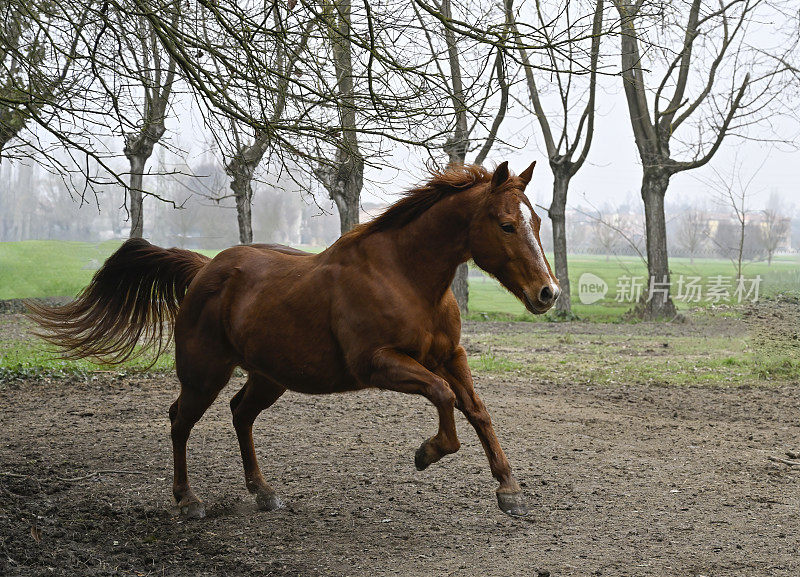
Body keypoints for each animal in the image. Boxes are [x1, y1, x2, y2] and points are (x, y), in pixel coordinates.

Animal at [28, 162, 560, 516]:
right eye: (506, 224)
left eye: (536, 222)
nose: (547, 293)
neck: (404, 276)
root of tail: (205, 270)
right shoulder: (378, 363)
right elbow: (444, 396)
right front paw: (426, 453)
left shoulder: (451, 354)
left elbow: (477, 410)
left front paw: (509, 490)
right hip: (204, 374)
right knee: (180, 419)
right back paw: (188, 500)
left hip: (269, 377)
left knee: (240, 414)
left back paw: (263, 492)